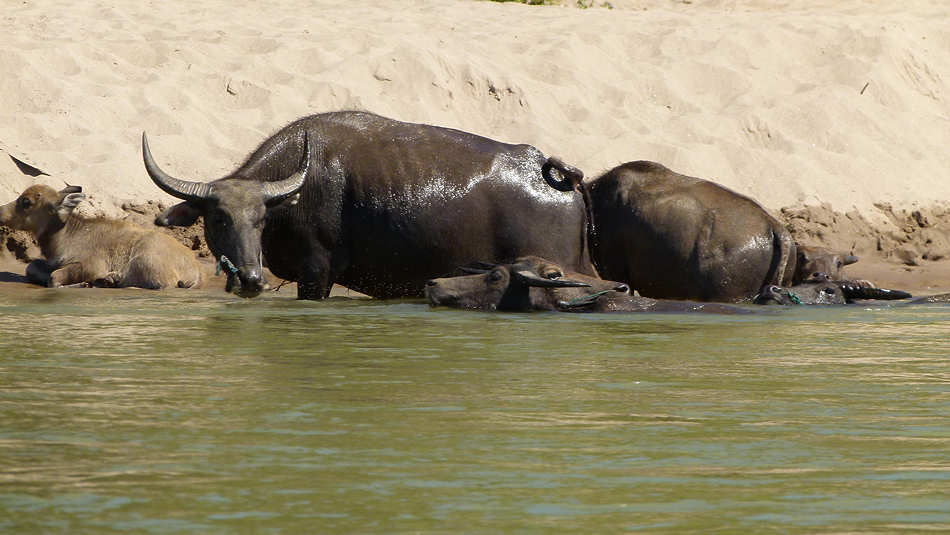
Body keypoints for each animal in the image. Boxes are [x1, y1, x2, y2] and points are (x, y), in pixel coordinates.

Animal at [0, 185, 201, 294]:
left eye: (26, 202)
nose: (1, 211)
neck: (65, 235)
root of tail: (196, 270)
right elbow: (32, 266)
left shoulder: (91, 265)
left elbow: (54, 278)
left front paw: (85, 284)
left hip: (145, 262)